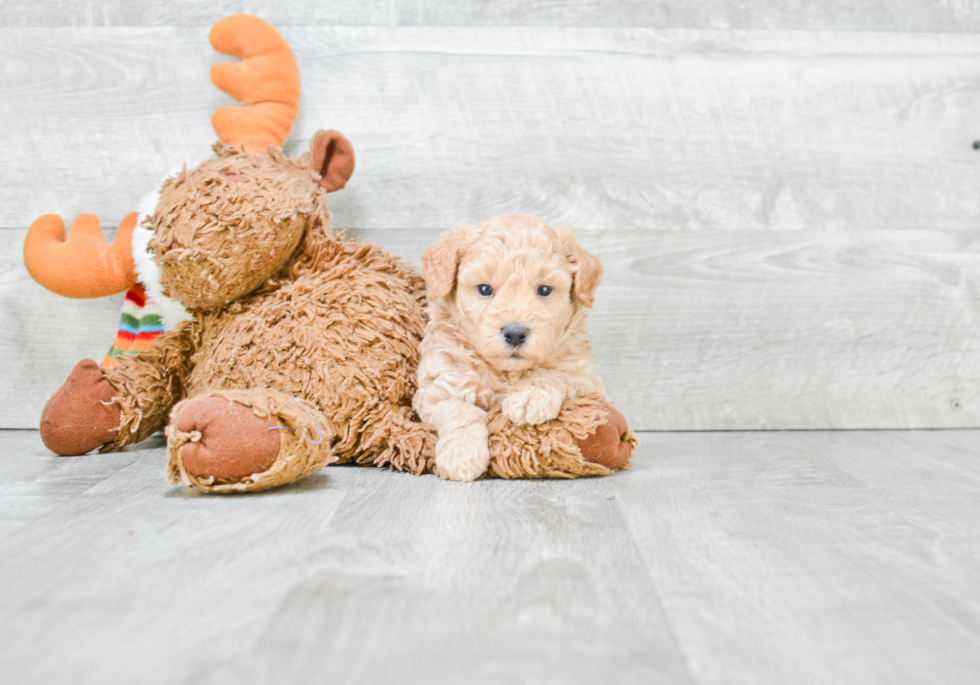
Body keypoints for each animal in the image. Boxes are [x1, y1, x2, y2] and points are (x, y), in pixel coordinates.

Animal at [414, 214, 604, 480]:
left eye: (544, 290)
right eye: (485, 289)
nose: (515, 333)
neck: (504, 372)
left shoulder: (588, 381)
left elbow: (557, 373)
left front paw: (530, 396)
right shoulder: (437, 387)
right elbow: (456, 408)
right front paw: (462, 455)